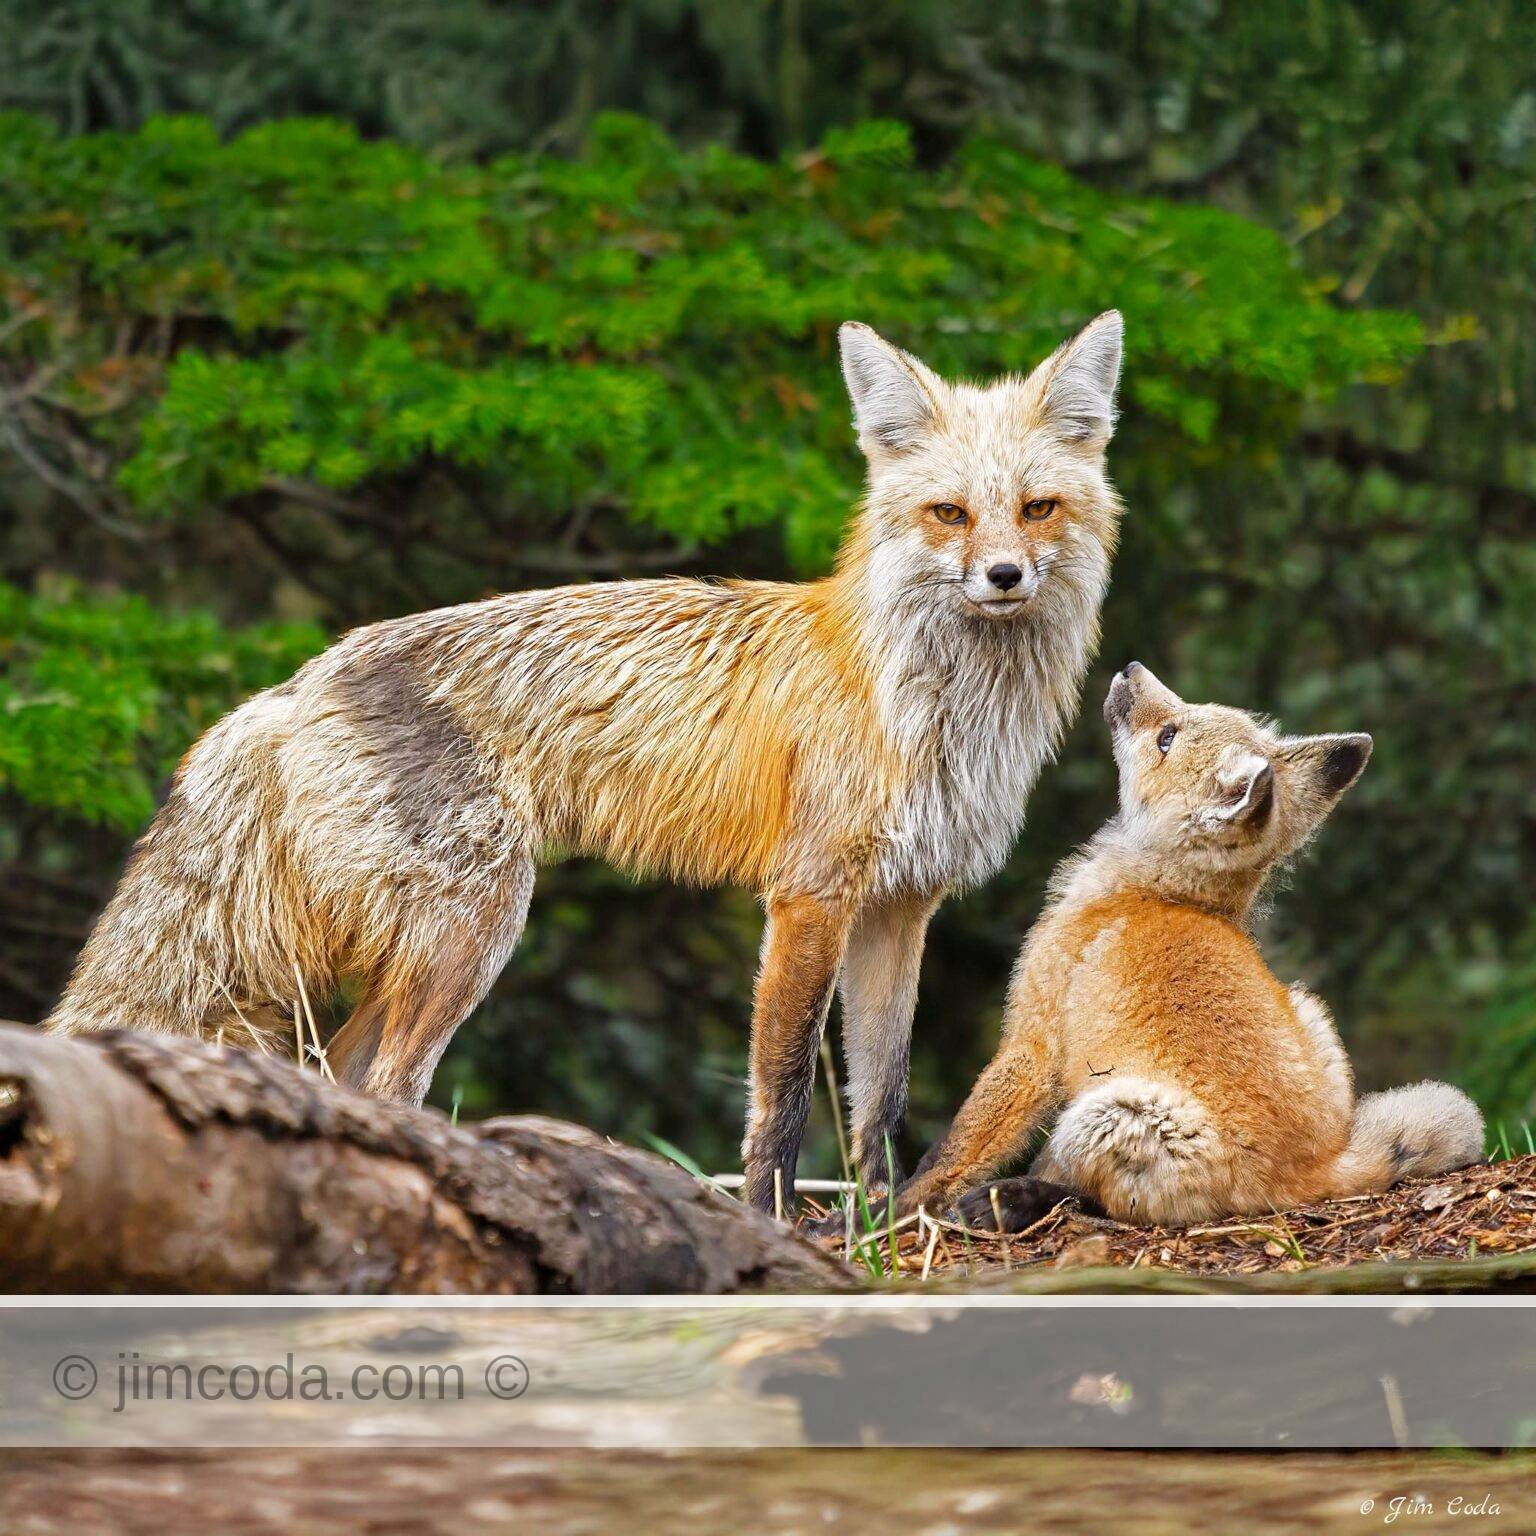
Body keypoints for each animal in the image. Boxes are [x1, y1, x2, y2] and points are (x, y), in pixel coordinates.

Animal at [45, 312, 1127, 1213]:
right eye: (950, 514)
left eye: (1037, 509)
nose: (1004, 576)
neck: (922, 701)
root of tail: (296, 684)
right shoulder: (809, 896)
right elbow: (780, 1095)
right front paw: (776, 1222)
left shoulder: (903, 906)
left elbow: (884, 1098)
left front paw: (888, 1223)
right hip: (475, 928)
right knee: (392, 1081)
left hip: (426, 948)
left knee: (342, 1075)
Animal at [885, 661, 1484, 1230]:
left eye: (1167, 737)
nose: (1130, 667)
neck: (1154, 892)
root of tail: (1313, 1174)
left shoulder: (1032, 1041)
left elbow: (954, 1148)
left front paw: (886, 1211)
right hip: (1309, 1009)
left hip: (1106, 1113)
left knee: (1095, 1197)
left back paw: (1013, 1201)